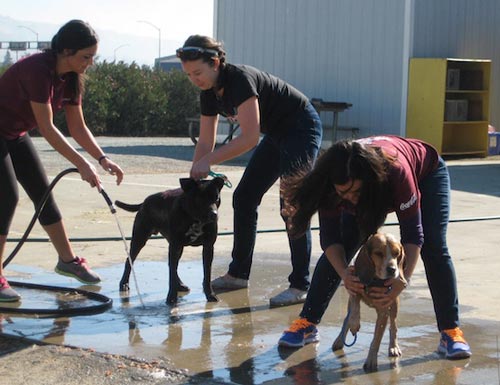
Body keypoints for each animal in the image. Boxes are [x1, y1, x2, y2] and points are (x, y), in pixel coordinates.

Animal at [115, 176, 225, 304]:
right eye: (200, 198)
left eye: (216, 198)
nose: (214, 214)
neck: (194, 219)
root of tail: (145, 201)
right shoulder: (175, 246)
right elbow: (172, 273)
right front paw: (171, 297)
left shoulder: (208, 247)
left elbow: (207, 274)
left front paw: (210, 295)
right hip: (140, 238)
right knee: (130, 260)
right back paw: (124, 283)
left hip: (176, 247)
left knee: (172, 266)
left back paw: (180, 285)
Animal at [332, 231, 406, 372]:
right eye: (378, 253)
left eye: (396, 253)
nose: (393, 270)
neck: (374, 280)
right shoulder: (353, 289)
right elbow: (354, 311)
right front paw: (355, 324)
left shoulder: (383, 312)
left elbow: (376, 339)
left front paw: (371, 360)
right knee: (346, 319)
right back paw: (340, 339)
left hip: (394, 304)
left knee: (393, 326)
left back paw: (393, 346)